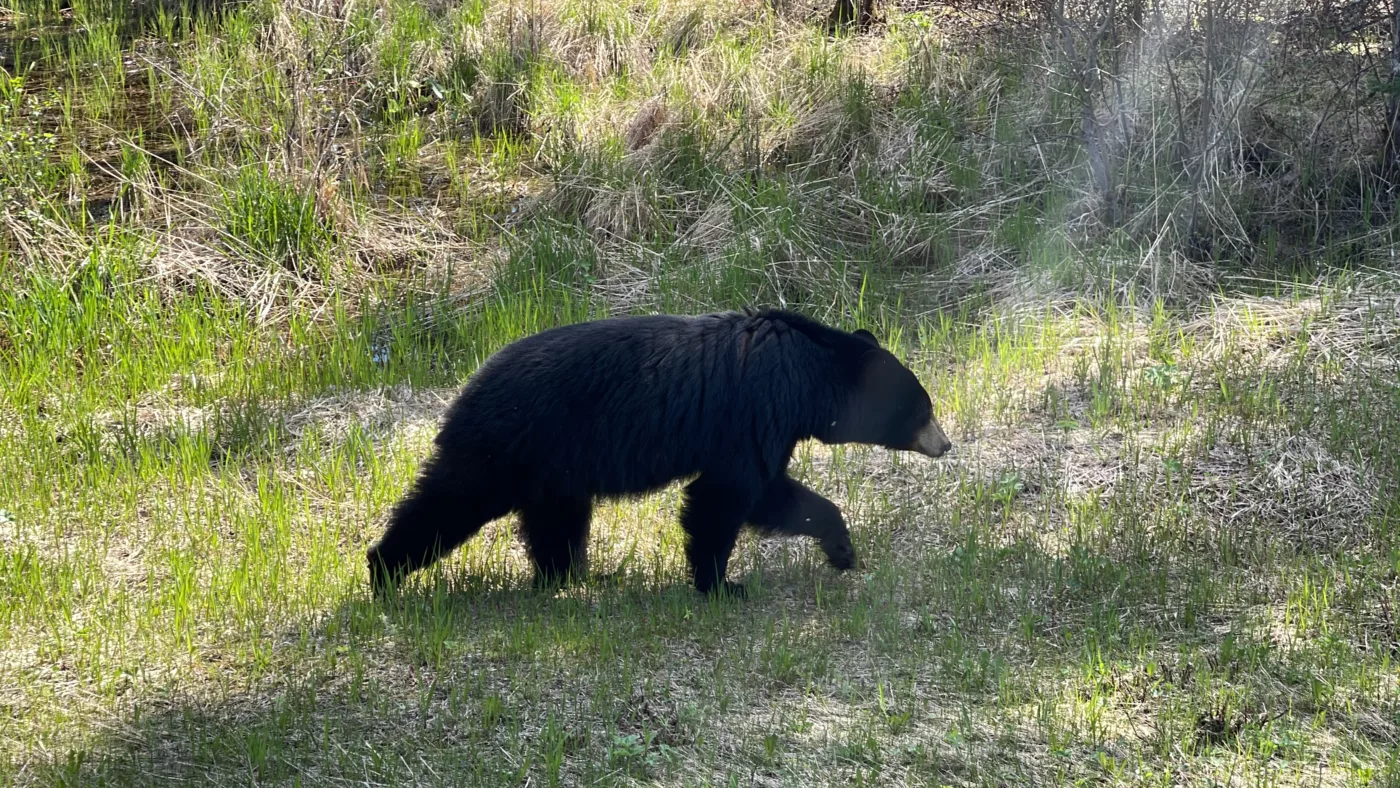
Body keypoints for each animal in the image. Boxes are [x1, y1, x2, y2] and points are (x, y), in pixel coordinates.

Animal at [366, 307, 952, 599]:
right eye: (924, 409)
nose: (946, 444)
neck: (807, 371)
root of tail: (468, 386)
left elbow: (769, 493)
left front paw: (841, 551)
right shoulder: (753, 410)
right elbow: (731, 494)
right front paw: (721, 584)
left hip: (557, 464)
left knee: (556, 521)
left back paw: (571, 578)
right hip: (508, 444)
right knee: (448, 501)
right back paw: (382, 572)